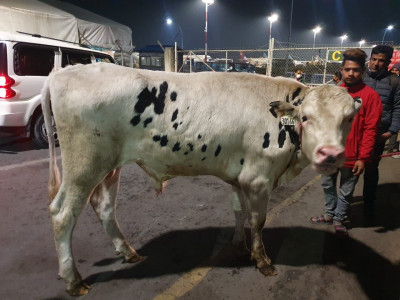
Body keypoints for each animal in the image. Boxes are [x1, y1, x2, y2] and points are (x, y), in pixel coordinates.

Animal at [42, 63, 360, 296]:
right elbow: (257, 220)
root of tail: (64, 71)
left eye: (348, 119)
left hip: (109, 167)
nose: (330, 154)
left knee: (104, 206)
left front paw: (239, 247)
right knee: (62, 214)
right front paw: (262, 260)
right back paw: (73, 280)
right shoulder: (259, 178)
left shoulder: (239, 176)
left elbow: (238, 211)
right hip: (85, 164)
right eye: (306, 117)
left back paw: (128, 252)